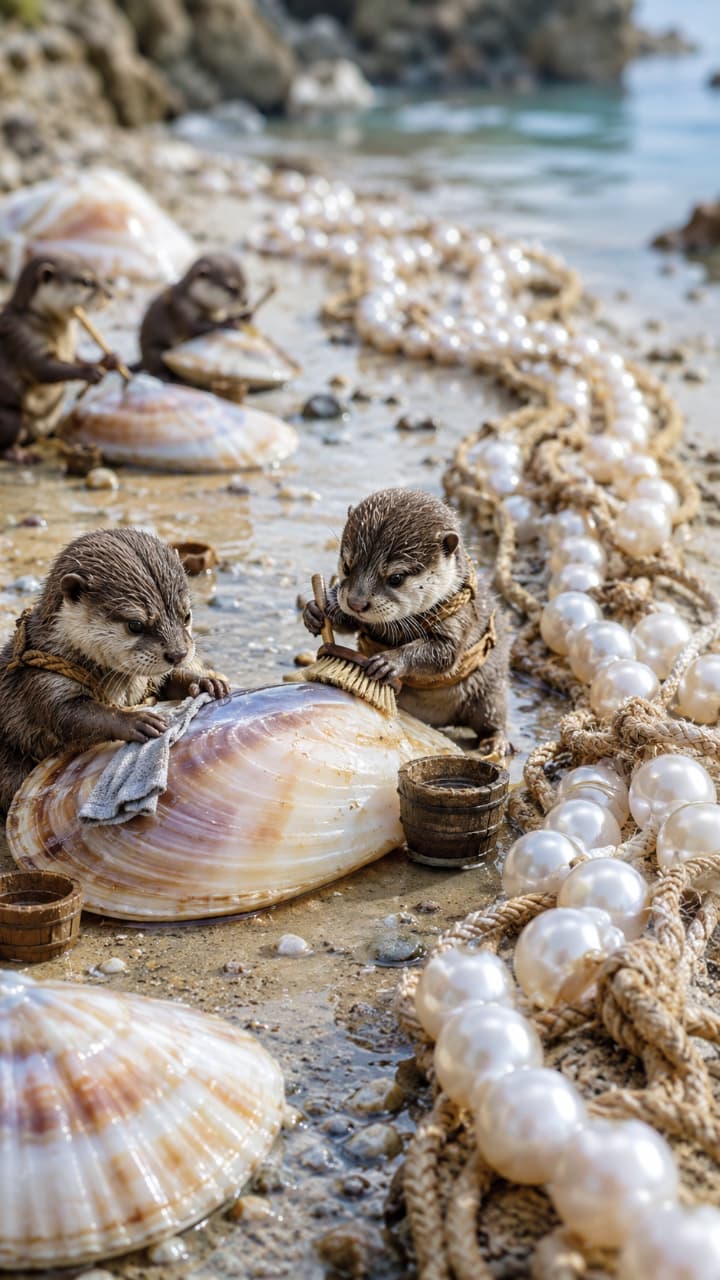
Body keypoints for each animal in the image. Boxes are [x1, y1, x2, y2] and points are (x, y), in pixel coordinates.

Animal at [0, 254, 121, 464]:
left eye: (100, 275)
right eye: (87, 281)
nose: (110, 295)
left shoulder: (71, 348)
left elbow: (76, 358)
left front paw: (110, 360)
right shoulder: (22, 337)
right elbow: (42, 369)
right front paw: (90, 372)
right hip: (11, 418)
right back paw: (20, 454)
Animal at [0, 528, 229, 816]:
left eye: (186, 615)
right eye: (135, 625)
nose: (177, 654)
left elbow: (169, 679)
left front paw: (205, 680)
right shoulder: (41, 681)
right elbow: (68, 715)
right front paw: (135, 720)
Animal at [303, 488, 509, 747]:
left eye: (396, 578)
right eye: (348, 566)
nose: (356, 603)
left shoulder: (461, 619)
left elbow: (445, 655)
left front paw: (390, 661)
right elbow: (349, 622)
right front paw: (316, 610)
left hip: (489, 691)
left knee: (493, 716)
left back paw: (496, 742)